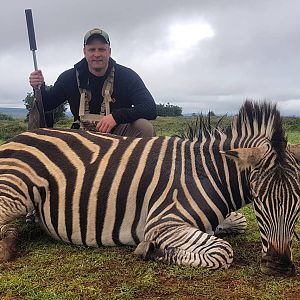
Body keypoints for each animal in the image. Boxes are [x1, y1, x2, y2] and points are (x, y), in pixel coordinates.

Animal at [0, 101, 298, 276]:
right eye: (258, 198)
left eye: (299, 202)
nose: (280, 267)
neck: (209, 174)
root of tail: (19, 135)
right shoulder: (163, 222)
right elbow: (222, 251)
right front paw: (151, 250)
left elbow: (238, 224)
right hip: (16, 190)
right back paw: (7, 245)